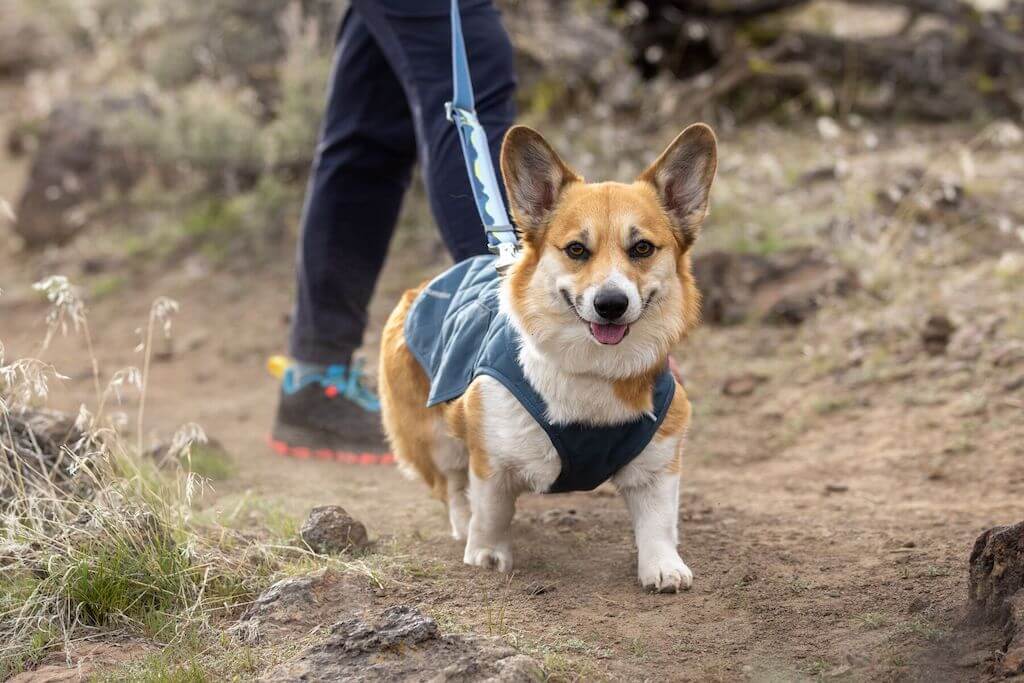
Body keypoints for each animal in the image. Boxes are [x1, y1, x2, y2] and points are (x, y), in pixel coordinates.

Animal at [380, 124, 716, 593]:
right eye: (576, 250)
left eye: (642, 249)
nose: (610, 304)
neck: (594, 370)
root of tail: (427, 285)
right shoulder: (491, 460)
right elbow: (491, 511)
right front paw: (487, 555)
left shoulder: (658, 462)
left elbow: (658, 523)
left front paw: (664, 568)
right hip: (434, 438)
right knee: (453, 487)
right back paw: (463, 528)